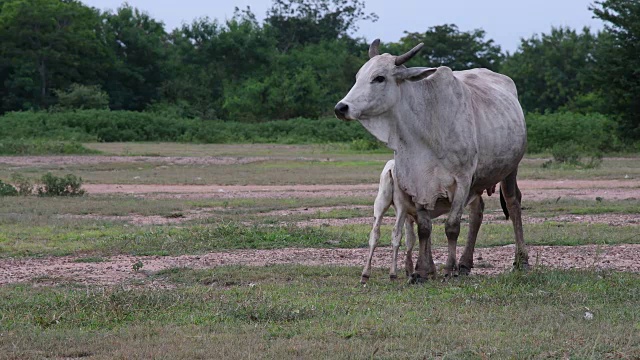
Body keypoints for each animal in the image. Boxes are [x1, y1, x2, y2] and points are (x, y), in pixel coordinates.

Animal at [338, 39, 528, 282]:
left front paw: (448, 269)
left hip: (509, 169)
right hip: (478, 180)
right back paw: (465, 263)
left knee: (513, 204)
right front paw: (420, 272)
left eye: (379, 78)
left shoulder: (462, 180)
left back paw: (521, 260)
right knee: (477, 212)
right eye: (358, 76)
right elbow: (424, 228)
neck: (425, 127)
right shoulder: (418, 181)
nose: (341, 108)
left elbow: (452, 227)